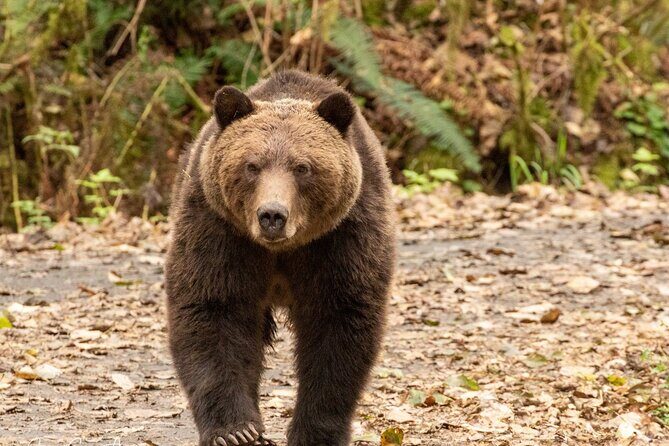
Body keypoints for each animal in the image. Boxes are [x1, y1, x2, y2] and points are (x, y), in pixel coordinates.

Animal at [165, 70, 396, 446]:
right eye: (252, 165)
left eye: (302, 167)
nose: (272, 215)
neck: (281, 250)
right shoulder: (219, 231)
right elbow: (213, 309)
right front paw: (236, 431)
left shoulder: (343, 238)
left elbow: (340, 322)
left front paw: (315, 433)